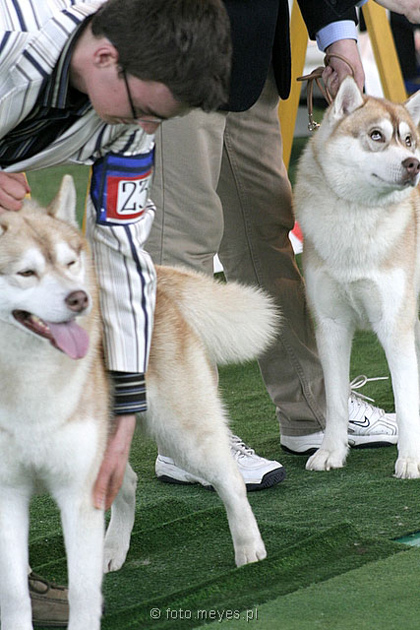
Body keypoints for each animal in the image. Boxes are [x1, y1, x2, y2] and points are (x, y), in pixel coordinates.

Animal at [0, 175, 278, 630]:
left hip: (183, 430)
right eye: (26, 272)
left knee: (230, 480)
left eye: (70, 262)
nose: (80, 299)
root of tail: (155, 280)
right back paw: (112, 550)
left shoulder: (74, 488)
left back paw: (249, 551)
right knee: (127, 483)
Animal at [294, 76, 420, 479]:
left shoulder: (393, 324)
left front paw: (411, 459)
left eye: (407, 139)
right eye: (376, 135)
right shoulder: (331, 326)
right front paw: (331, 452)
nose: (413, 164)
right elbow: (334, 401)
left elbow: (405, 399)